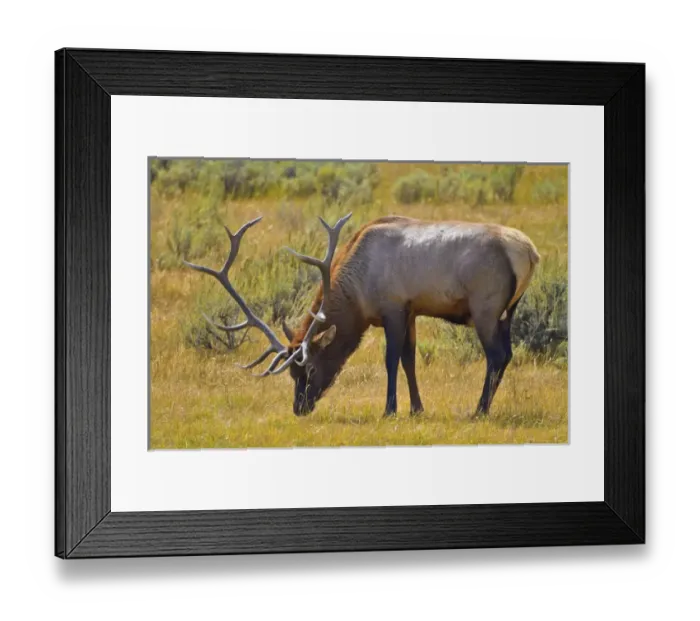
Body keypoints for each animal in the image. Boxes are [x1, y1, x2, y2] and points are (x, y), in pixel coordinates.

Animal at [185, 213, 540, 418]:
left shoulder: (393, 307)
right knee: (507, 355)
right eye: (290, 374)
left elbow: (391, 360)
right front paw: (416, 409)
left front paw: (390, 410)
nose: (299, 408)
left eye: (309, 369)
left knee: (496, 356)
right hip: (508, 311)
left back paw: (479, 411)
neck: (359, 294)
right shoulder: (411, 311)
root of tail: (529, 252)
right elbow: (410, 359)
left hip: (485, 307)